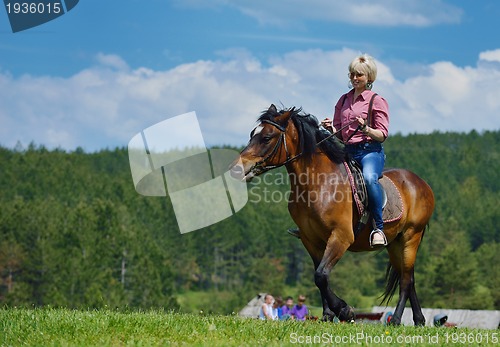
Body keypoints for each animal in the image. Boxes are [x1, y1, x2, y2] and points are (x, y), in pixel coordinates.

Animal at [230, 104, 434, 324]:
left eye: (267, 137)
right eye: (252, 134)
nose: (236, 169)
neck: (319, 183)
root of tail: (421, 183)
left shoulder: (341, 236)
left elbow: (321, 275)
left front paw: (344, 310)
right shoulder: (311, 240)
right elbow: (320, 276)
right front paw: (328, 315)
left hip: (411, 236)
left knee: (405, 280)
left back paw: (396, 320)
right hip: (395, 242)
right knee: (409, 277)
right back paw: (419, 320)